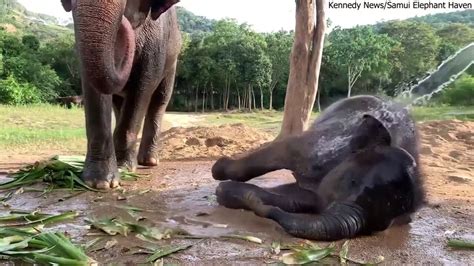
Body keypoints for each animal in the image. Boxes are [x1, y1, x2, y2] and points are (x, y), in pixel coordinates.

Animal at [60, 0, 181, 189]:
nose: (123, 21)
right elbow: (94, 87)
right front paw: (99, 182)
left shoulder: (156, 42)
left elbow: (143, 87)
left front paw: (124, 168)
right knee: (118, 104)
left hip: (172, 63)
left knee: (159, 101)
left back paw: (149, 161)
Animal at [213, 95, 424, 241]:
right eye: (352, 181)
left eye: (380, 226)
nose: (260, 208)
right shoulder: (323, 147)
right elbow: (285, 150)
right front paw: (219, 171)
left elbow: (296, 199)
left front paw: (227, 192)